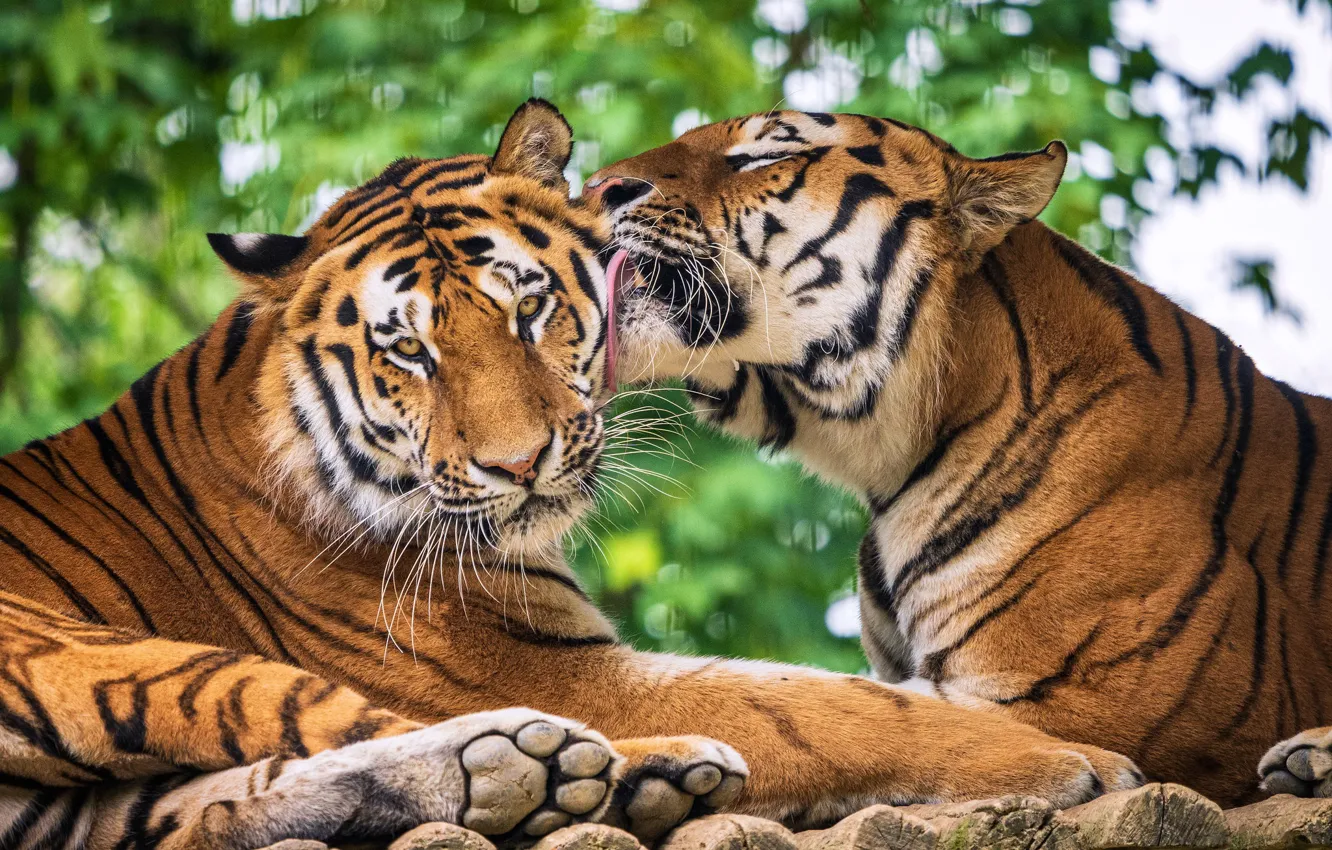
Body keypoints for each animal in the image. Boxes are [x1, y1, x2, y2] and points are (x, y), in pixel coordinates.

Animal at [0, 100, 1142, 850]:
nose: (519, 462)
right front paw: (1065, 761)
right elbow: (815, 706)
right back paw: (598, 773)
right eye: (407, 350)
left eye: (530, 306)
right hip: (98, 652)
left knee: (214, 809)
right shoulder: (543, 669)